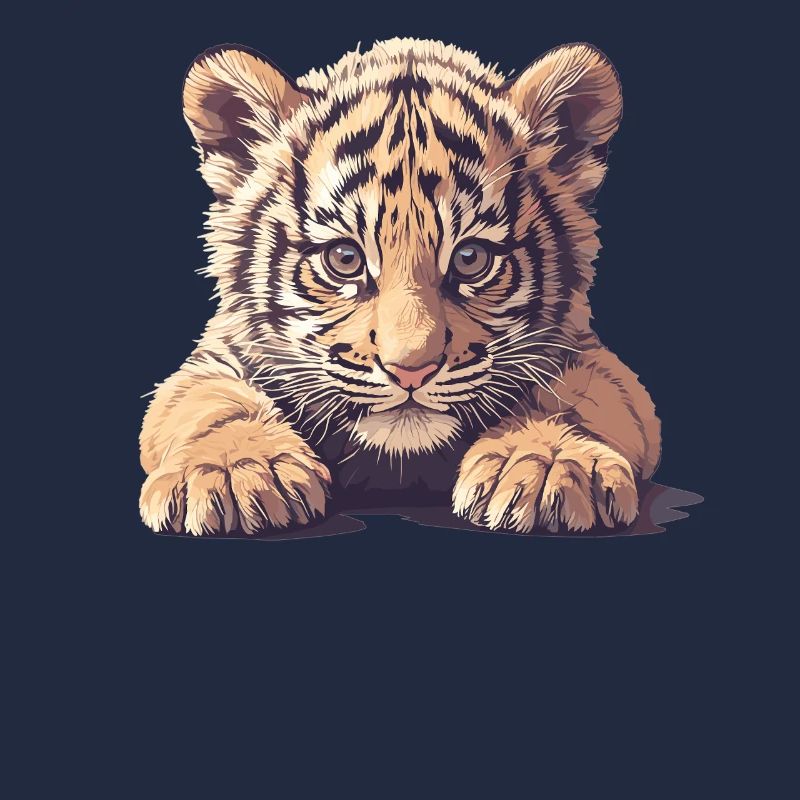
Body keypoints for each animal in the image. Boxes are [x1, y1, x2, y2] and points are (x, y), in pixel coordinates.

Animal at [139, 37, 661, 536]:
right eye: (344, 259)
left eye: (470, 259)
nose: (411, 371)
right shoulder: (215, 357)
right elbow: (212, 403)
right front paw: (234, 469)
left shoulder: (588, 352)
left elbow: (574, 396)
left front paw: (549, 463)